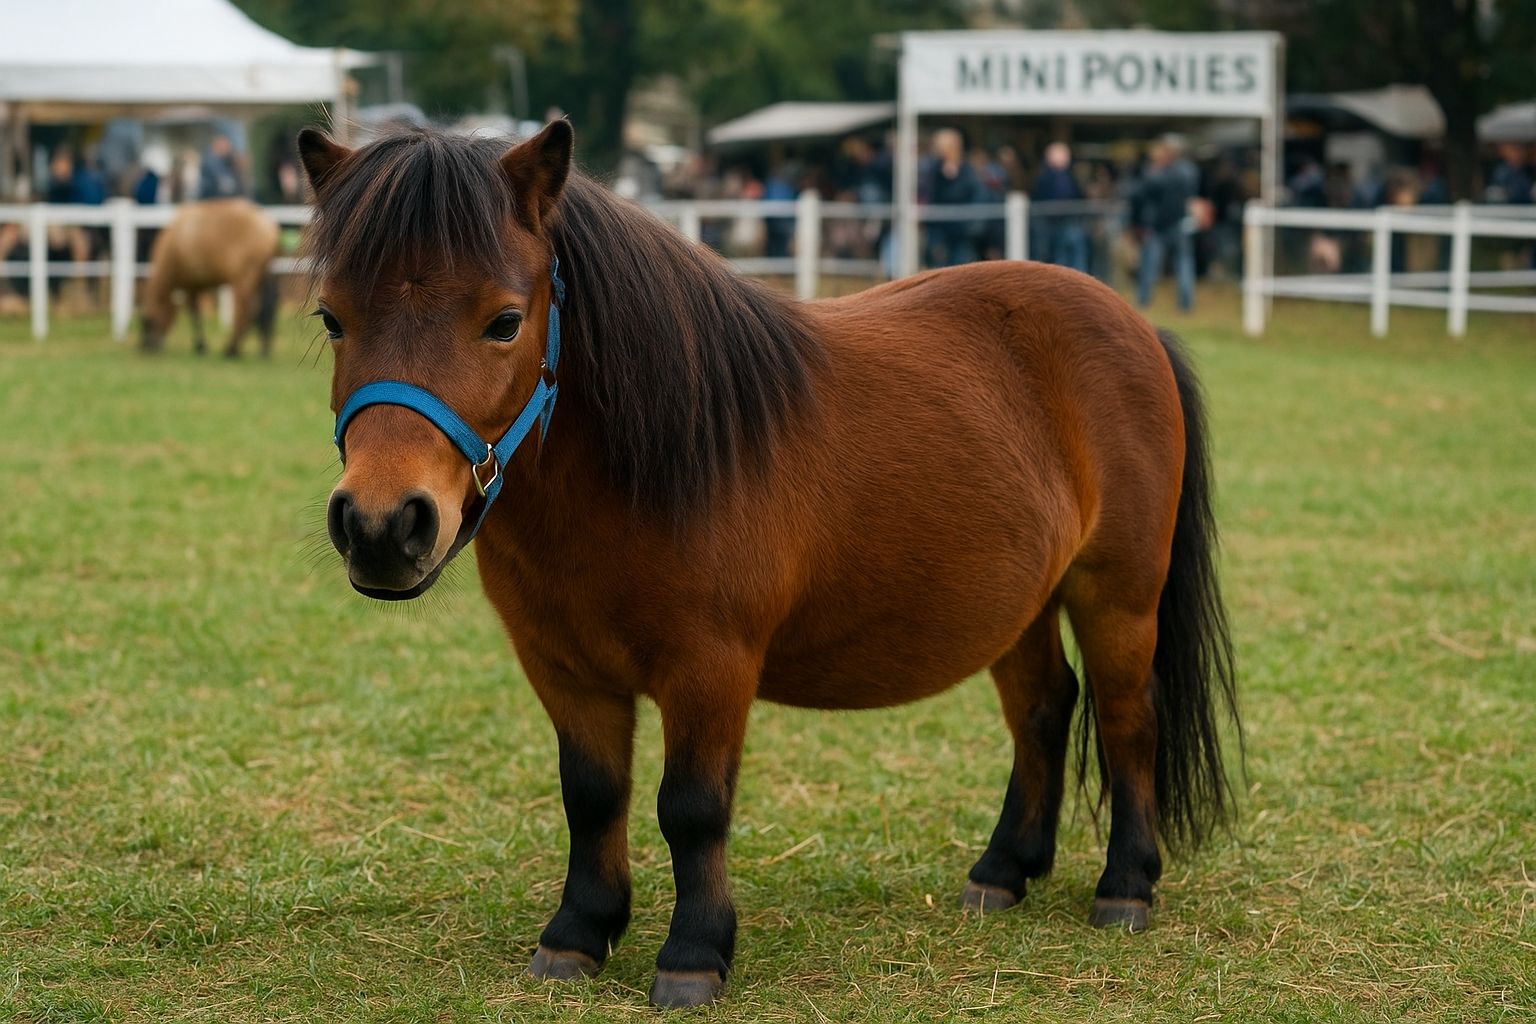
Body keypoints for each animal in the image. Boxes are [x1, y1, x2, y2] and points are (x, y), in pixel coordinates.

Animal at [140, 198, 279, 357]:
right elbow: (195, 312)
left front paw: (200, 344)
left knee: (246, 310)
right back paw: (264, 349)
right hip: (264, 275)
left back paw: (232, 349)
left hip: (244, 279)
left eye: (149, 322)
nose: (147, 346)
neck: (175, 242)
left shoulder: (191, 285)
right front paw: (200, 344)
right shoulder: (195, 285)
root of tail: (266, 223)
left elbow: (194, 313)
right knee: (266, 307)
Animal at [300, 122, 1239, 1009]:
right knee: (1044, 709)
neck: (650, 463)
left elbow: (692, 807)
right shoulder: (562, 667)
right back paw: (1003, 872)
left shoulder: (711, 667)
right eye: (332, 318)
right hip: (1023, 604)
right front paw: (578, 934)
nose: (382, 525)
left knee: (1127, 717)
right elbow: (592, 795)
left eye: (503, 320)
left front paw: (693, 954)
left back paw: (1125, 887)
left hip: (1117, 596)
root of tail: (1134, 321)